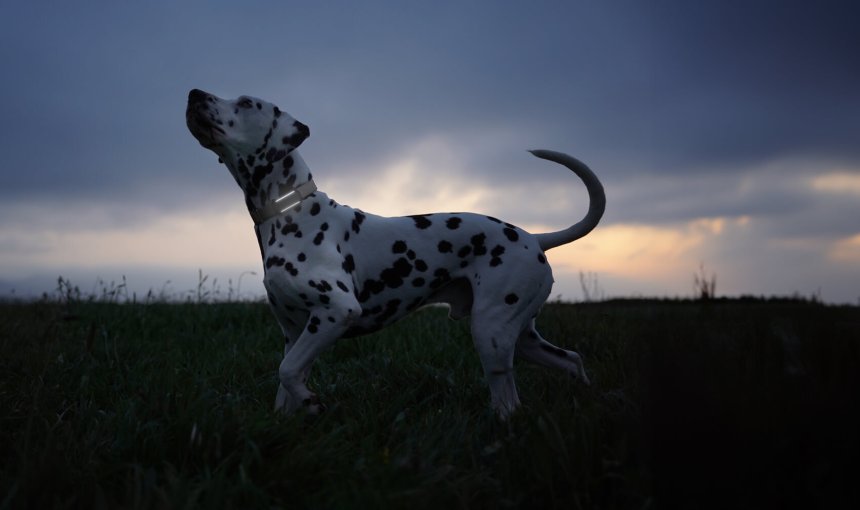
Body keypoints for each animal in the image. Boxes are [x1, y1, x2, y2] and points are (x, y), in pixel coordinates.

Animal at [188, 89, 604, 420]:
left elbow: (287, 372)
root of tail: (535, 237)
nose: (194, 92)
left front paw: (311, 402)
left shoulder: (335, 312)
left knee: (509, 401)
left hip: (492, 332)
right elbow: (286, 380)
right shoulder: (294, 331)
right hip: (521, 335)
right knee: (571, 359)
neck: (289, 210)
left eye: (245, 103)